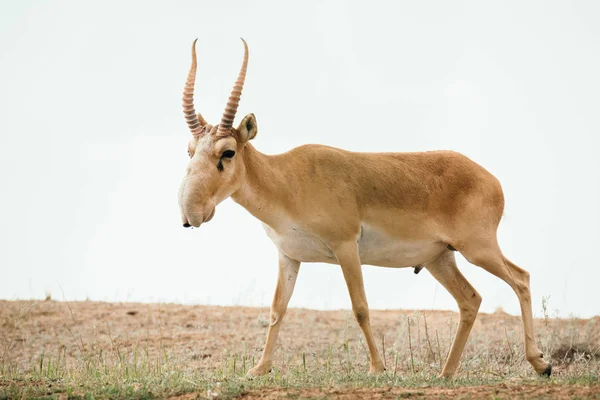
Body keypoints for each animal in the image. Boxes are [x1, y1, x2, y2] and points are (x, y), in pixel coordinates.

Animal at [178, 39, 552, 376]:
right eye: (190, 150)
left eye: (228, 152)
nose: (190, 215)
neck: (288, 179)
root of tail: (491, 180)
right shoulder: (289, 256)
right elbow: (277, 310)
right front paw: (258, 369)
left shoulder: (346, 247)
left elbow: (360, 307)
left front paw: (377, 368)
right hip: (440, 258)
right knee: (470, 299)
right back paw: (446, 373)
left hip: (478, 249)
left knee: (521, 279)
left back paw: (541, 364)